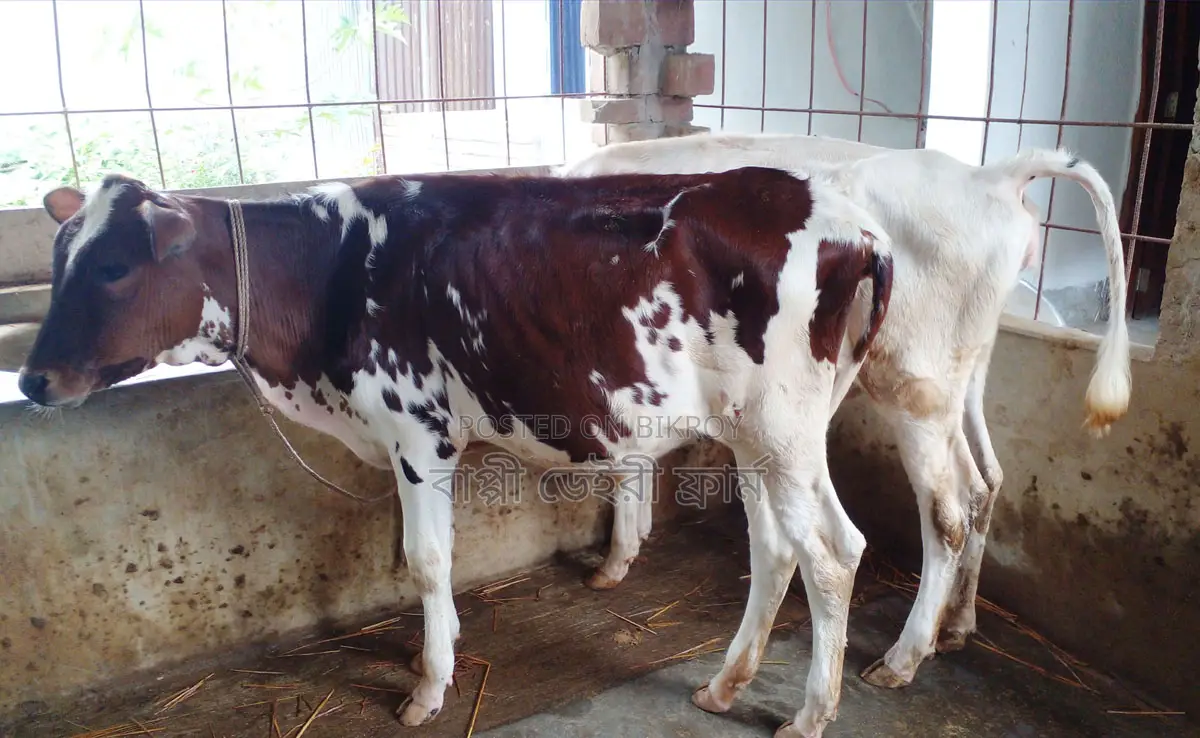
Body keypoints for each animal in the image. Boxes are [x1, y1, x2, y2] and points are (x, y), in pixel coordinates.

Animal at [19, 165, 894, 738]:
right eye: (58, 260)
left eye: (112, 266)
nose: (31, 378)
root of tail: (852, 223)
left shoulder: (417, 431)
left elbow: (426, 560)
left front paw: (428, 687)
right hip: (762, 438)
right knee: (776, 549)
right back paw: (724, 685)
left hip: (781, 428)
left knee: (832, 553)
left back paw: (811, 714)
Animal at [560, 132, 1132, 694]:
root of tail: (991, 175)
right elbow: (634, 458)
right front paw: (629, 546)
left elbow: (621, 460)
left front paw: (613, 560)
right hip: (965, 374)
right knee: (985, 480)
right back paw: (957, 625)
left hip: (912, 384)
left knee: (947, 514)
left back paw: (903, 658)